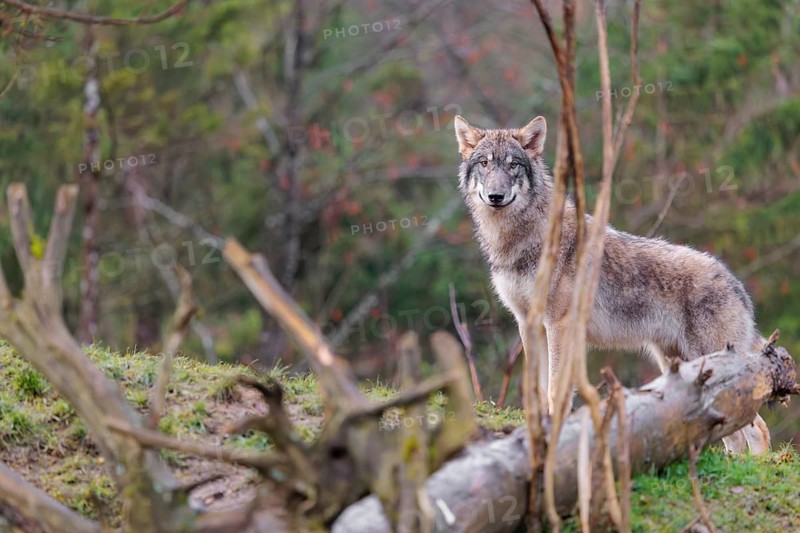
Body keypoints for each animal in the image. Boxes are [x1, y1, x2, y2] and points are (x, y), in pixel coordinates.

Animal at [454, 114, 770, 454]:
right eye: (485, 163)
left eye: (513, 165)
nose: (496, 196)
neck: (521, 240)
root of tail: (736, 284)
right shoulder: (528, 323)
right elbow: (536, 390)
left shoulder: (559, 324)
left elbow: (556, 390)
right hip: (678, 368)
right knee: (742, 433)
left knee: (755, 432)